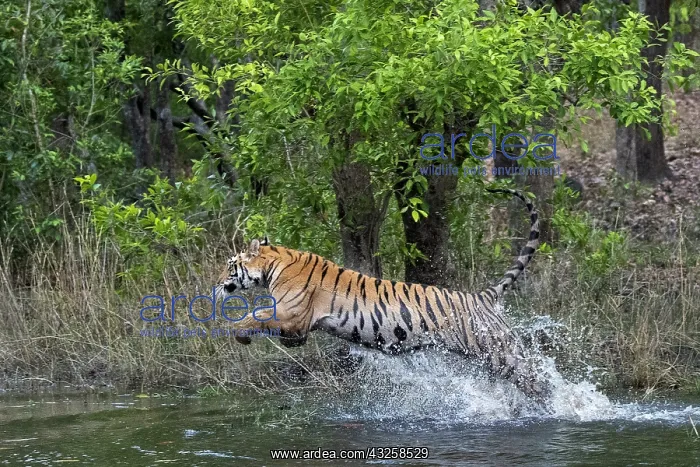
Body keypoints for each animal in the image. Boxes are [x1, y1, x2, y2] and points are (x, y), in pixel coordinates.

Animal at [215, 188, 551, 404]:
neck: (274, 264)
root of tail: (482, 297)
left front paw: (237, 333)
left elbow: (256, 315)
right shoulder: (298, 327)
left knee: (539, 381)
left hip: (500, 351)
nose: (216, 283)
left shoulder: (292, 314)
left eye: (230, 265)